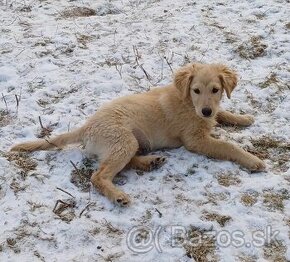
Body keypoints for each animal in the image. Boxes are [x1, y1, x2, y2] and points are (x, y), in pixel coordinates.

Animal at [10, 63, 266, 205]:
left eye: (215, 90)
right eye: (196, 90)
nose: (205, 110)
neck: (187, 101)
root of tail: (87, 126)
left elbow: (222, 113)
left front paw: (243, 118)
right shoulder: (195, 140)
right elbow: (227, 146)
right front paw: (252, 160)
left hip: (128, 142)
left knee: (125, 162)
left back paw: (151, 161)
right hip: (122, 139)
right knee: (99, 175)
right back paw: (118, 195)